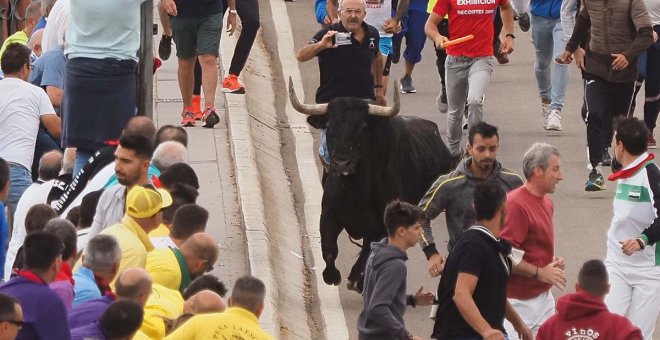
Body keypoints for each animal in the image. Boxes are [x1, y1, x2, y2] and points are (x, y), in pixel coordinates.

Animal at [290, 78, 454, 290]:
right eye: (330, 126)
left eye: (362, 127)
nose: (342, 163)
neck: (356, 190)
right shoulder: (328, 214)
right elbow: (329, 248)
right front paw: (331, 275)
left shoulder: (380, 226)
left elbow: (368, 252)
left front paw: (355, 279)